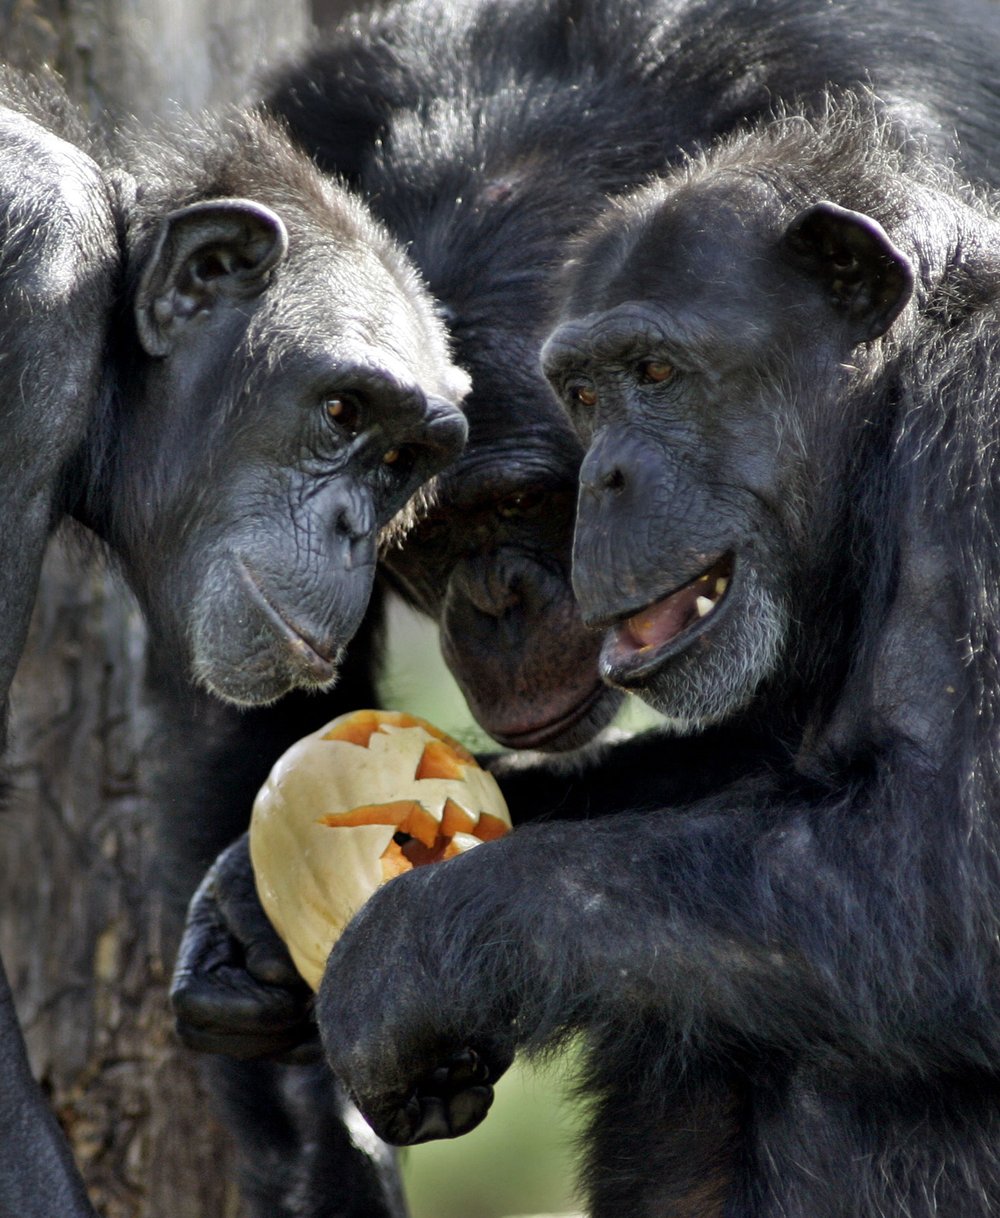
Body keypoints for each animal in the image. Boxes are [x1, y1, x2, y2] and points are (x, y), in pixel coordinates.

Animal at [308, 97, 1000, 1218]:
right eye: (583, 396)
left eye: (657, 373)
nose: (605, 476)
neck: (891, 411)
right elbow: (749, 761)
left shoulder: (981, 450)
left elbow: (949, 868)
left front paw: (411, 951)